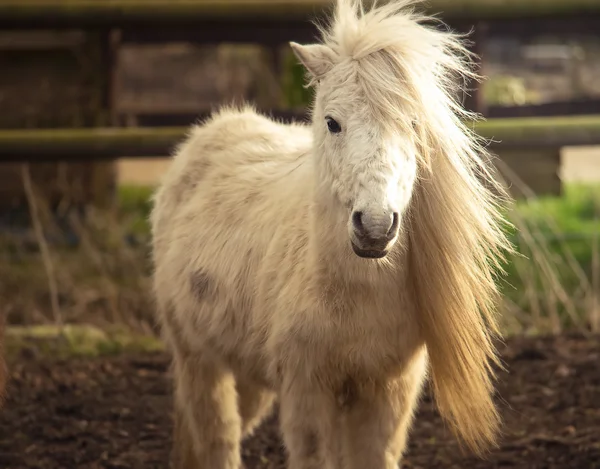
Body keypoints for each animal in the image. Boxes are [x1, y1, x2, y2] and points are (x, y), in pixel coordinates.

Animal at [150, 0, 510, 468]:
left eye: (414, 124)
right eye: (332, 123)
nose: (374, 226)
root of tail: (208, 136)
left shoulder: (385, 394)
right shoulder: (308, 391)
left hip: (246, 370)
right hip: (199, 361)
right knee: (218, 439)